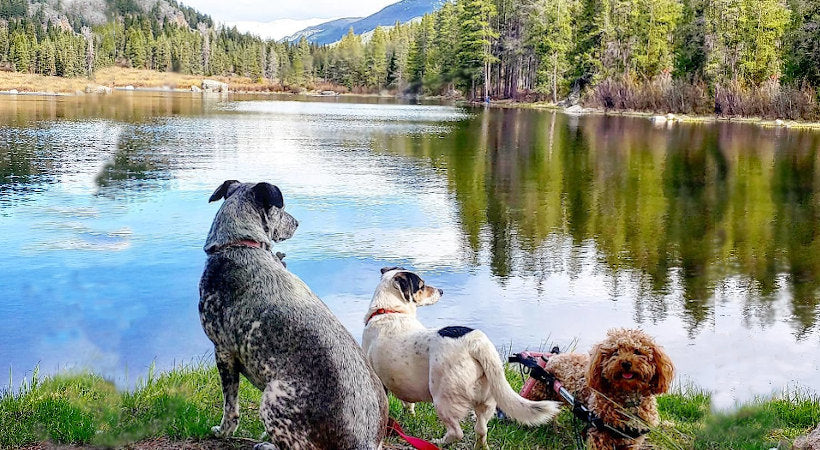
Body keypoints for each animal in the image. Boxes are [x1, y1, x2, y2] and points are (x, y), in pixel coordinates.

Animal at [200, 180, 390, 450]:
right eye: (281, 210)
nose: (298, 222)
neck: (241, 243)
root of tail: (363, 443)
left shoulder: (223, 351)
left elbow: (230, 406)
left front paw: (223, 431)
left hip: (272, 397)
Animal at [362, 268, 560, 446]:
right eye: (422, 285)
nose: (441, 291)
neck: (388, 311)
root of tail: (476, 342)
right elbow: (408, 404)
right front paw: (410, 414)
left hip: (443, 399)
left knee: (457, 432)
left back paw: (439, 442)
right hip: (486, 401)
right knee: (481, 431)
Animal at [524, 328, 672, 448]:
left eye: (637, 351)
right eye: (615, 352)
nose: (626, 363)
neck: (627, 398)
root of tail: (551, 358)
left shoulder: (632, 440)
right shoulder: (600, 437)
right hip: (538, 392)